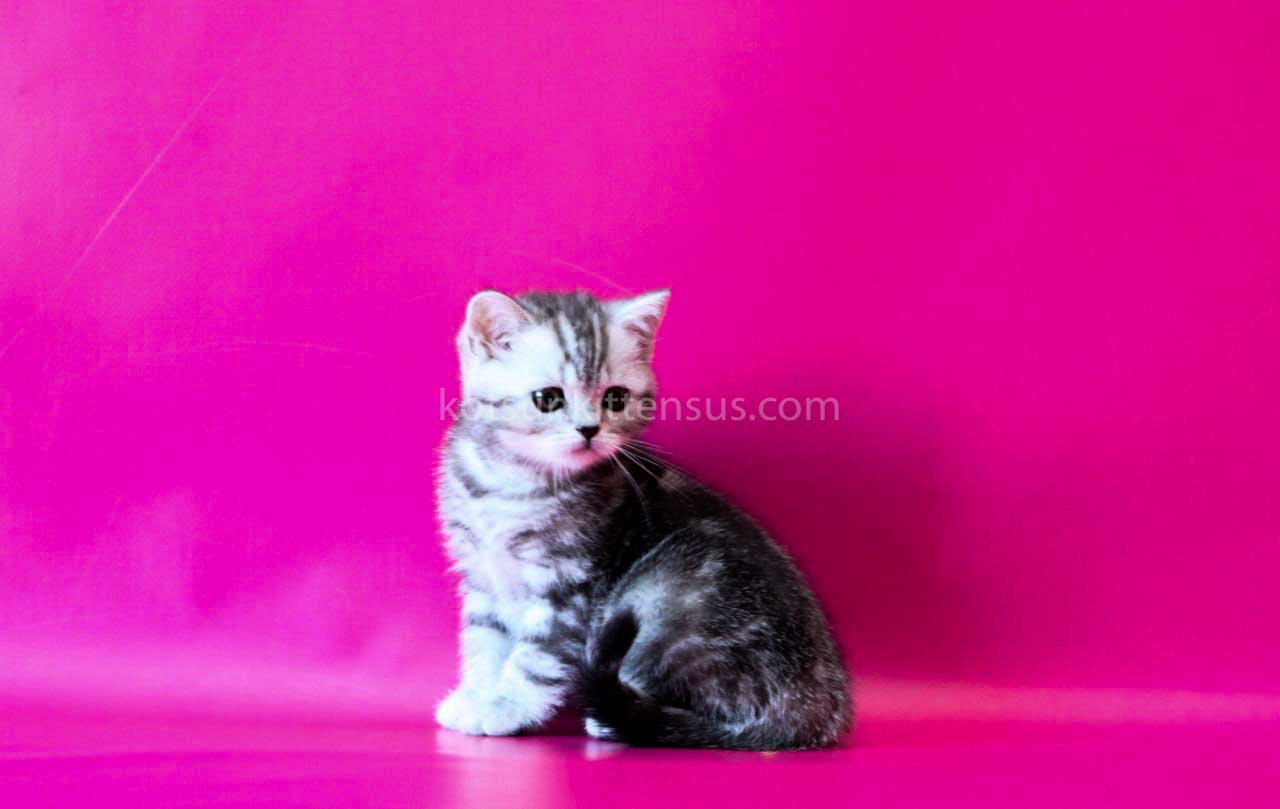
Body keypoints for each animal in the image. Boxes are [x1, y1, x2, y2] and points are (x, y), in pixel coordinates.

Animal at [435, 288, 851, 750]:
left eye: (615, 398)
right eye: (548, 398)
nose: (589, 430)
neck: (510, 482)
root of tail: (817, 708)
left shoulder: (569, 588)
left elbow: (535, 658)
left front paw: (506, 709)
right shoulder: (482, 578)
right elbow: (484, 643)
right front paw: (476, 696)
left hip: (666, 597)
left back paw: (613, 721)